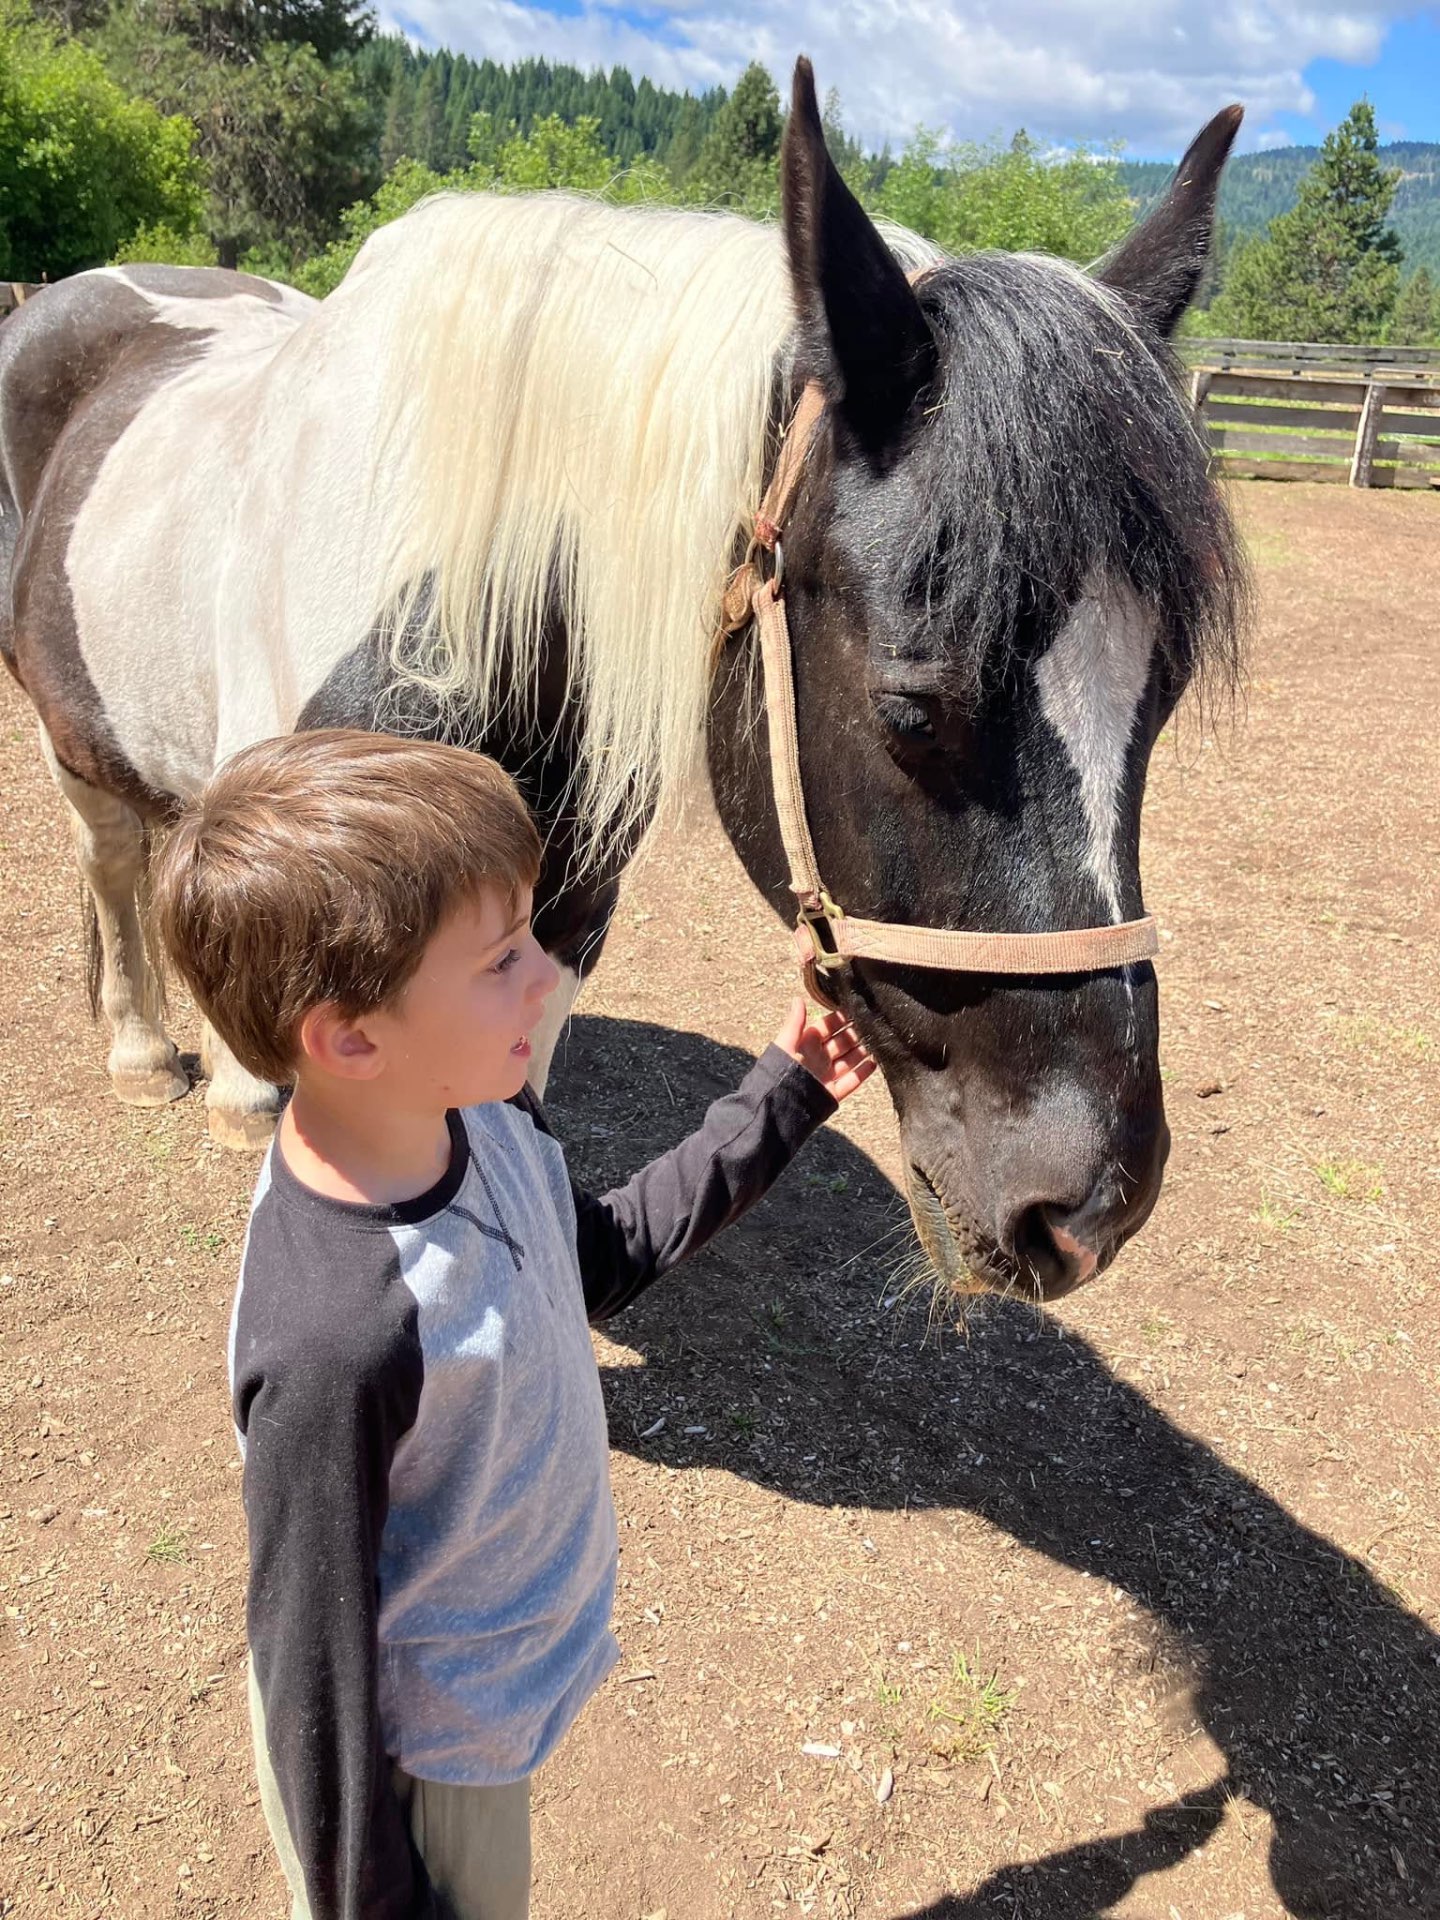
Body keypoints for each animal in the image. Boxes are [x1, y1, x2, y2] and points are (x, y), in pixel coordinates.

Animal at [0, 60, 1246, 1300]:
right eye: (912, 710)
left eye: (1158, 708)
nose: (1089, 1211)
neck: (452, 631)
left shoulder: (555, 932)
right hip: (74, 747)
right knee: (115, 864)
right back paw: (151, 1053)